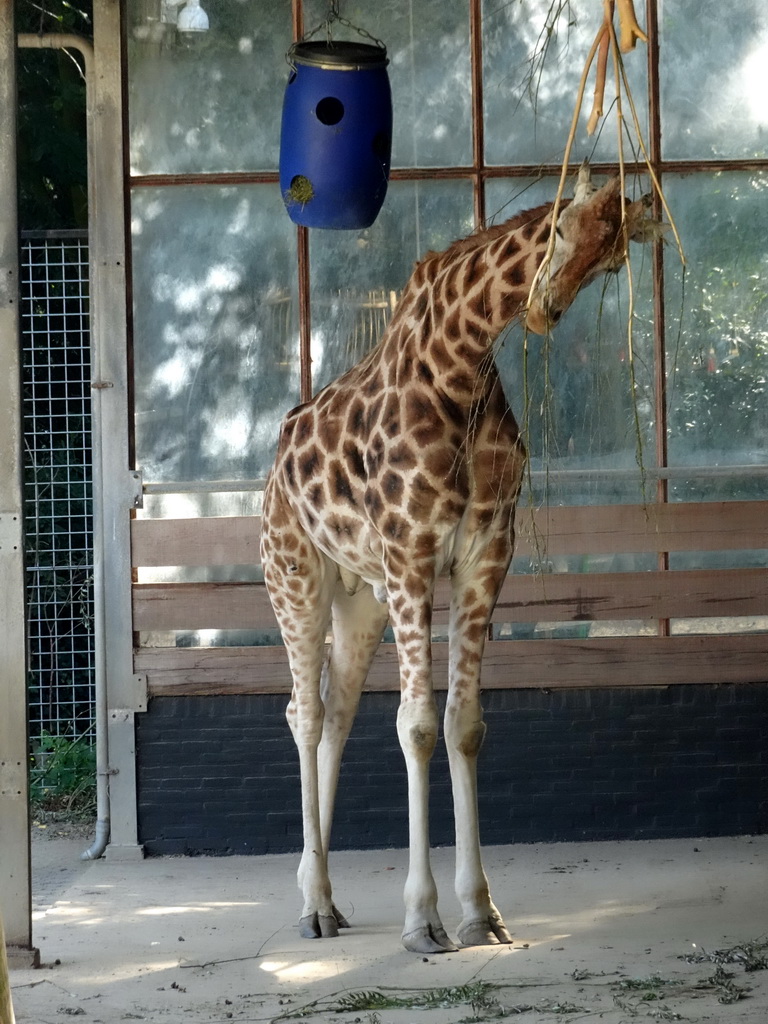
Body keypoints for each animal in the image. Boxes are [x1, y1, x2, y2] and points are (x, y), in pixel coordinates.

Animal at [262, 161, 659, 950]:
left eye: (612, 260)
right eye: (560, 228)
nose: (544, 311)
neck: (459, 363)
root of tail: (271, 473)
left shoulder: (484, 558)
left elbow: (463, 725)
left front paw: (480, 910)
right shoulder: (413, 552)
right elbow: (415, 726)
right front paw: (423, 919)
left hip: (361, 598)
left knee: (336, 713)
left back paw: (321, 894)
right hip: (295, 578)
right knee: (304, 715)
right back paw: (314, 905)